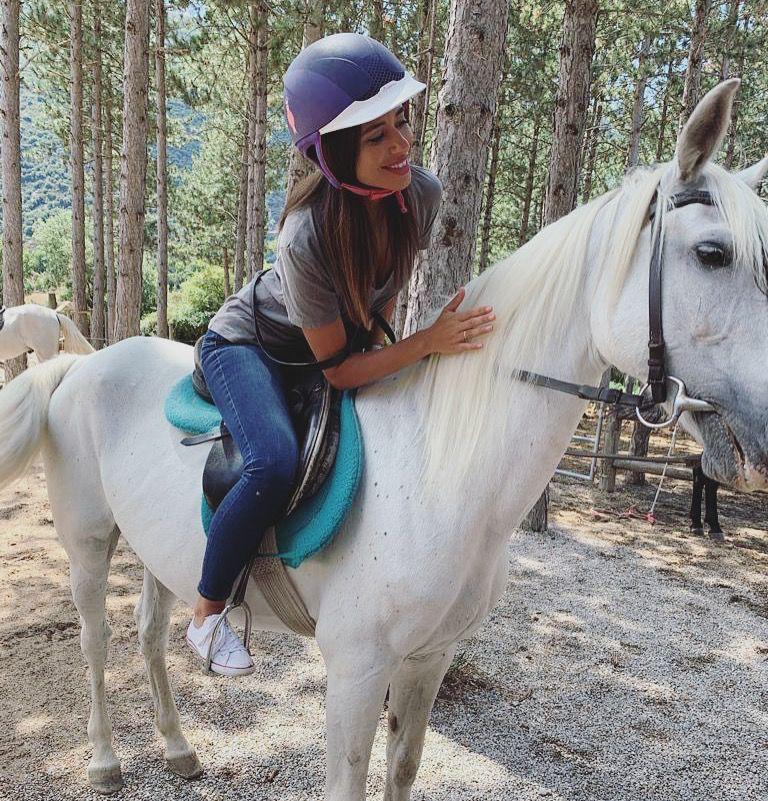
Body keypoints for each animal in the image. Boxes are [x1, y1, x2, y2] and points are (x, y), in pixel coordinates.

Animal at [1, 79, 768, 792]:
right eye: (712, 253)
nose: (760, 434)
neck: (439, 475)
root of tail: (80, 365)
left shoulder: (427, 660)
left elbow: (403, 768)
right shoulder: (357, 668)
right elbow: (349, 780)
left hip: (158, 552)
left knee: (151, 636)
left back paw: (177, 747)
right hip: (88, 543)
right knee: (96, 642)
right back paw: (105, 760)